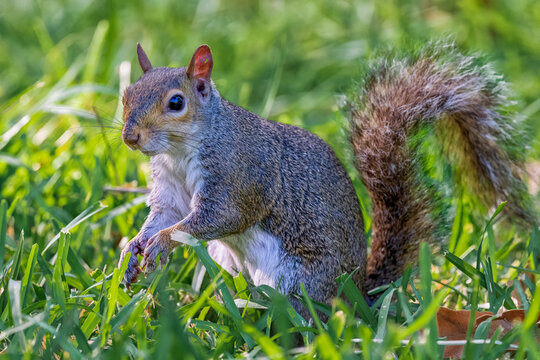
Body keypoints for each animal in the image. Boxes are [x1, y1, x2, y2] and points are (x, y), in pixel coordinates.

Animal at [116, 40, 532, 316]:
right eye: (126, 95)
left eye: (176, 103)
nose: (130, 137)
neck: (181, 151)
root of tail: (360, 293)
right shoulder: (171, 188)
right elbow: (166, 215)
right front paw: (134, 248)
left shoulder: (239, 174)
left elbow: (220, 217)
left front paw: (162, 243)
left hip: (301, 280)